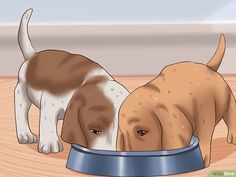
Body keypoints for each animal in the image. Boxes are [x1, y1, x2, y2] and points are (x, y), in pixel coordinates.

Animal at [14, 9, 129, 153]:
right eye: (94, 130)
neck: (90, 81)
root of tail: (33, 55)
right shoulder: (50, 101)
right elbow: (48, 121)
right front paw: (50, 142)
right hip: (22, 90)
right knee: (21, 110)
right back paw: (25, 134)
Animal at [116, 34, 236, 167]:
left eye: (142, 132)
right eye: (123, 134)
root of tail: (209, 67)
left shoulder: (203, 114)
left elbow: (203, 135)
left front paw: (202, 159)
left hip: (225, 97)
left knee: (231, 110)